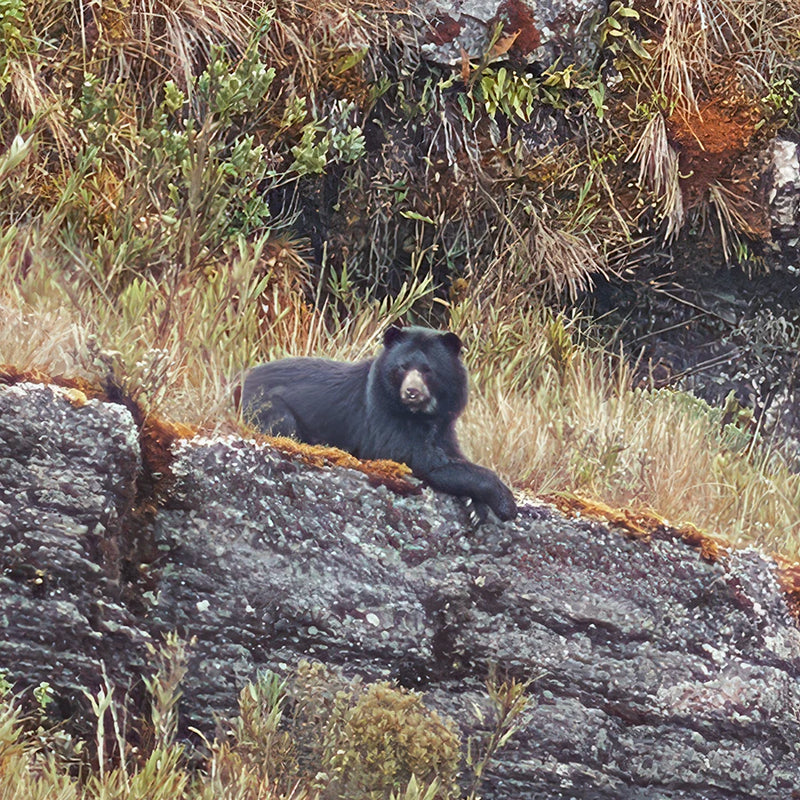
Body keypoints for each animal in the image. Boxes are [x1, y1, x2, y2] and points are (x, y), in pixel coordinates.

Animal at [240, 325, 517, 522]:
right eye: (403, 367)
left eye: (427, 369)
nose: (411, 392)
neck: (422, 414)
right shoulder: (382, 413)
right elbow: (411, 455)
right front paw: (505, 501)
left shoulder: (445, 424)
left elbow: (452, 454)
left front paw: (475, 508)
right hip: (270, 406)